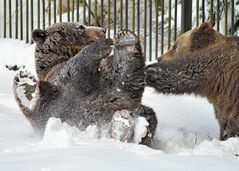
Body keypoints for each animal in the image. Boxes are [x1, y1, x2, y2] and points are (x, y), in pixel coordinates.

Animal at [14, 26, 158, 146]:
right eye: (80, 26)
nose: (103, 30)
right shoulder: (66, 79)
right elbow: (78, 68)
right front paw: (106, 43)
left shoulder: (111, 84)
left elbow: (126, 76)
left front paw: (125, 37)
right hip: (56, 108)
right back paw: (23, 83)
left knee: (148, 116)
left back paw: (122, 126)